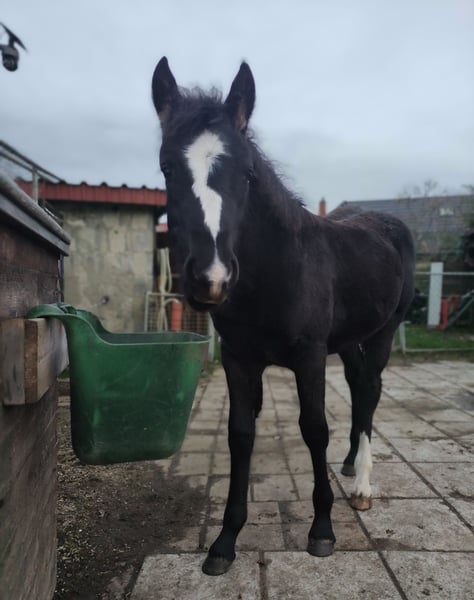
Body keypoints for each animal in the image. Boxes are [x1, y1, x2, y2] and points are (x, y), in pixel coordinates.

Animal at [151, 57, 415, 576]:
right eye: (167, 167)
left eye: (248, 173)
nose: (211, 277)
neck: (277, 272)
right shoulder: (239, 360)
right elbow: (240, 435)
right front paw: (225, 540)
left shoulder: (309, 357)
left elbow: (314, 429)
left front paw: (322, 529)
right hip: (348, 341)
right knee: (359, 388)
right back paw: (350, 464)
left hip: (382, 333)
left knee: (371, 390)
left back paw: (362, 484)